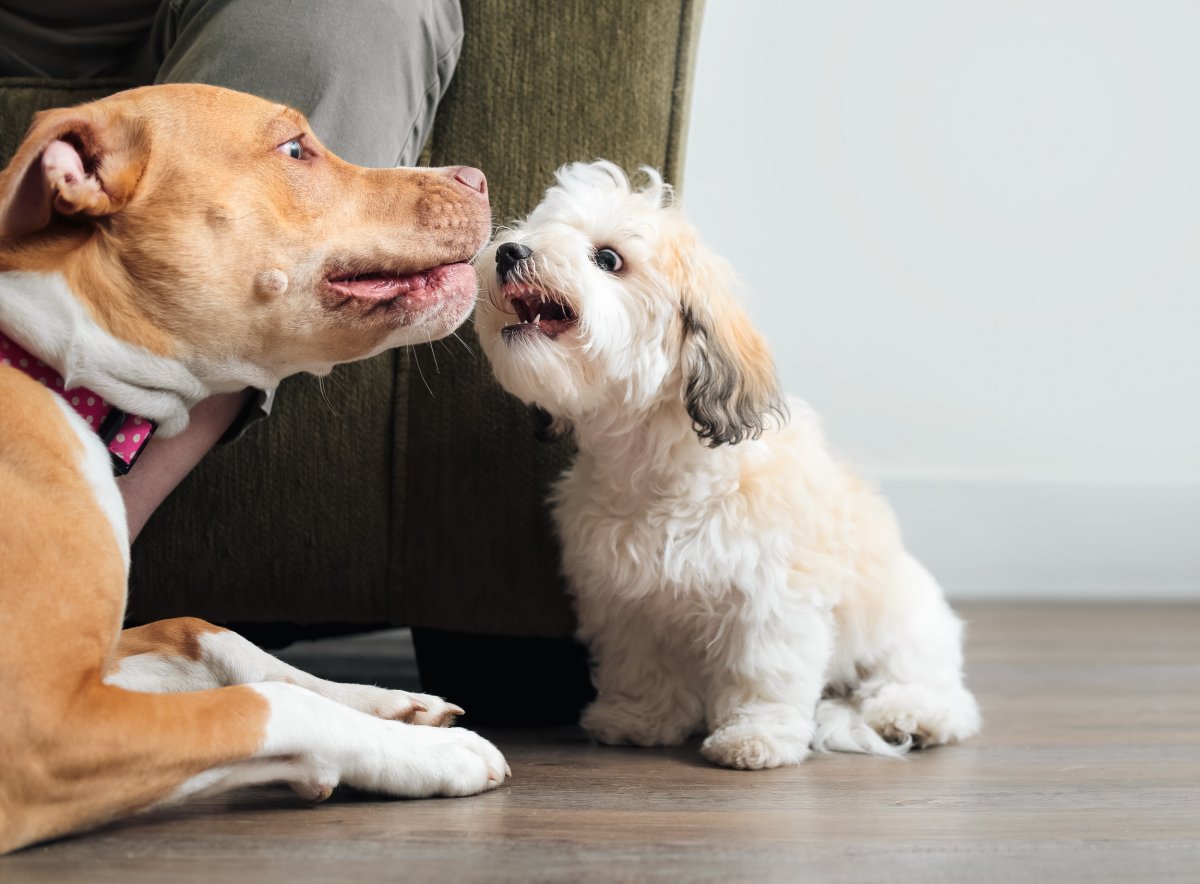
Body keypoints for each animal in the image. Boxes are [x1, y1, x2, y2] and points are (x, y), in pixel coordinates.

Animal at [0, 86, 506, 854]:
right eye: (294, 149)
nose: (477, 177)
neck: (54, 365)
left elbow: (207, 633)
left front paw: (391, 706)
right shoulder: (44, 727)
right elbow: (272, 704)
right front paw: (432, 755)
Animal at [472, 161, 979, 767]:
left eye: (608, 259)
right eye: (538, 227)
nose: (509, 252)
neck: (659, 470)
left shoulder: (770, 600)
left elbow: (762, 672)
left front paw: (754, 737)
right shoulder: (627, 600)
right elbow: (642, 665)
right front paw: (639, 719)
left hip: (904, 629)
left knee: (936, 693)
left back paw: (910, 714)